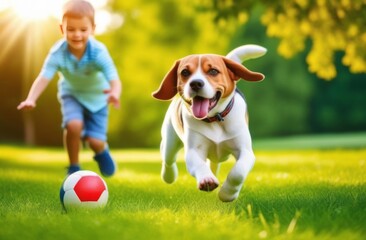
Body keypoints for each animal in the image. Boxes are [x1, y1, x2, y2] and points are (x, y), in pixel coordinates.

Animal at [152, 44, 266, 201]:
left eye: (213, 71)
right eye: (185, 72)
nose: (195, 83)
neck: (214, 120)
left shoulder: (245, 151)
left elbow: (238, 172)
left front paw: (227, 193)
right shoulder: (193, 150)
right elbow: (199, 165)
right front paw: (207, 180)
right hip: (170, 140)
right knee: (168, 159)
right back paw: (168, 176)